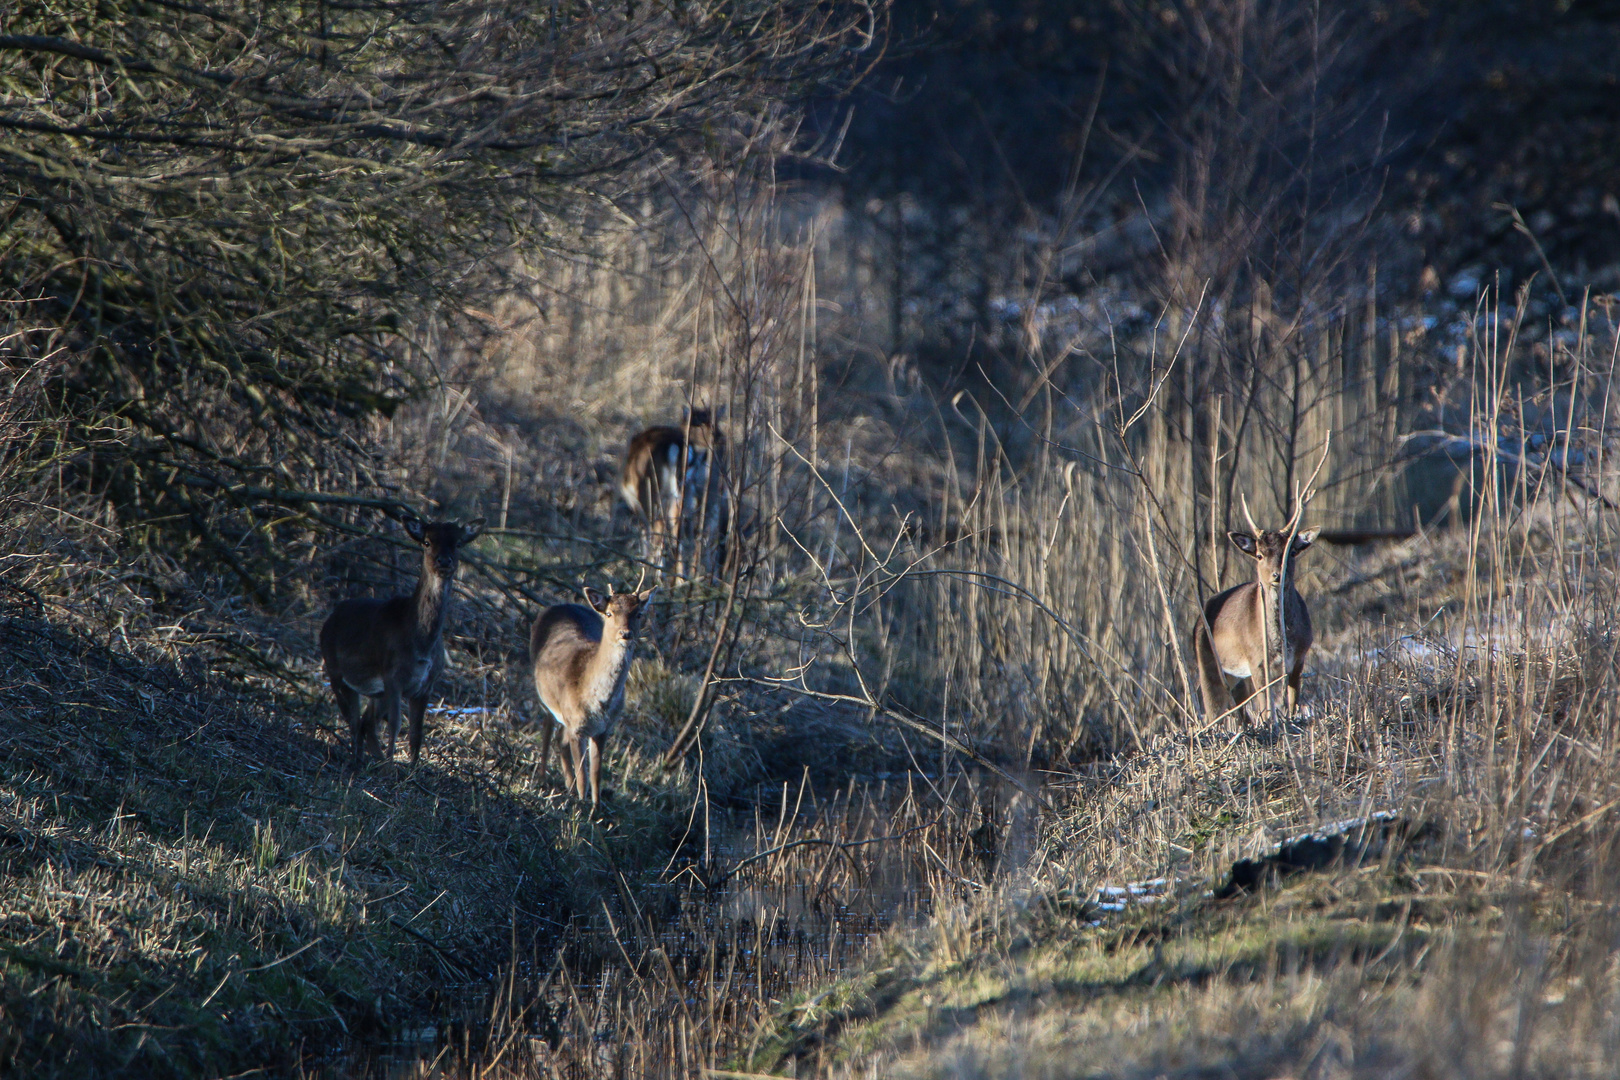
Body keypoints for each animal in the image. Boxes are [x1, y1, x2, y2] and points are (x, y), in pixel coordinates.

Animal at [319, 514, 482, 767]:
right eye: (427, 542)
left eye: (458, 543)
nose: (444, 560)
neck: (421, 645)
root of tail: (327, 621)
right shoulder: (392, 676)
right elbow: (395, 725)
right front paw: (391, 768)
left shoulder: (426, 685)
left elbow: (417, 733)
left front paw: (413, 769)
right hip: (335, 671)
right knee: (354, 721)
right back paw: (357, 761)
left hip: (376, 691)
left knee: (366, 723)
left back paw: (370, 759)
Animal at [534, 582, 654, 803]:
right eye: (609, 613)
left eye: (639, 613)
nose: (625, 634)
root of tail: (560, 604)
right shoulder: (577, 728)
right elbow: (584, 777)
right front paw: (581, 806)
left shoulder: (602, 729)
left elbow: (596, 776)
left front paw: (595, 807)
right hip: (547, 699)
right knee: (547, 730)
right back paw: (543, 779)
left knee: (560, 738)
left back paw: (568, 786)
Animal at [618, 408, 729, 579]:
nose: (720, 438)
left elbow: (647, 535)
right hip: (710, 496)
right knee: (707, 534)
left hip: (663, 496)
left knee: (667, 533)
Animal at [1192, 501, 1315, 731]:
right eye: (1259, 555)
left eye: (1292, 552)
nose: (1277, 575)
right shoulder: (1257, 660)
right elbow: (1267, 706)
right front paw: (1272, 726)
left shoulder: (1300, 656)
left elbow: (1293, 702)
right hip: (1208, 665)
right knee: (1213, 711)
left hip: (1237, 677)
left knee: (1240, 711)